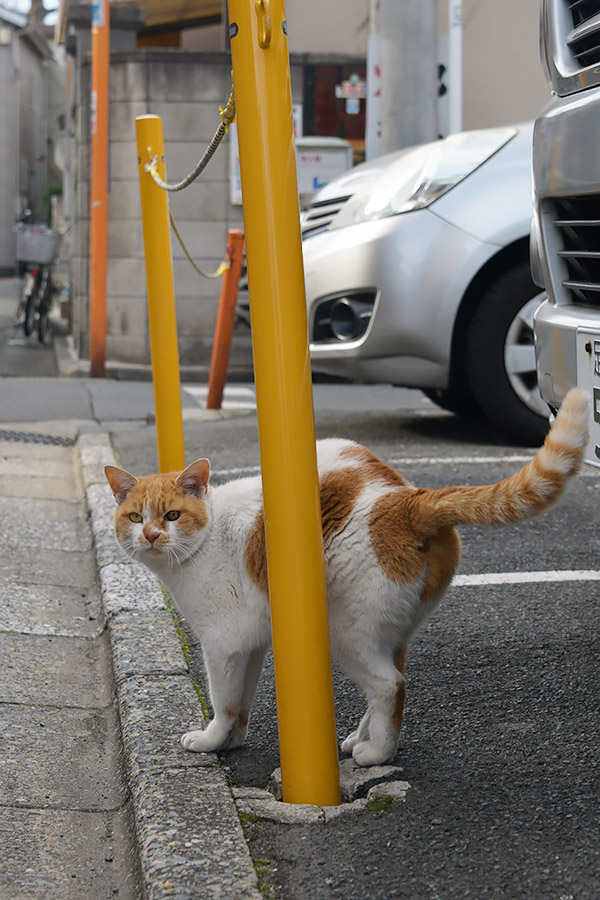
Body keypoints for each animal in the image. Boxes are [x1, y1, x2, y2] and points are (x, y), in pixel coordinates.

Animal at [105, 386, 588, 768]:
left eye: (171, 516)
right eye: (135, 517)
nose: (150, 535)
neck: (201, 544)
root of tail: (407, 500)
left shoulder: (222, 643)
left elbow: (224, 701)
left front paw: (210, 740)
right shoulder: (251, 643)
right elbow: (242, 700)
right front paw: (233, 741)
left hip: (345, 631)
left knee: (390, 685)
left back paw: (377, 753)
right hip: (388, 630)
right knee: (390, 678)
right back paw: (361, 737)